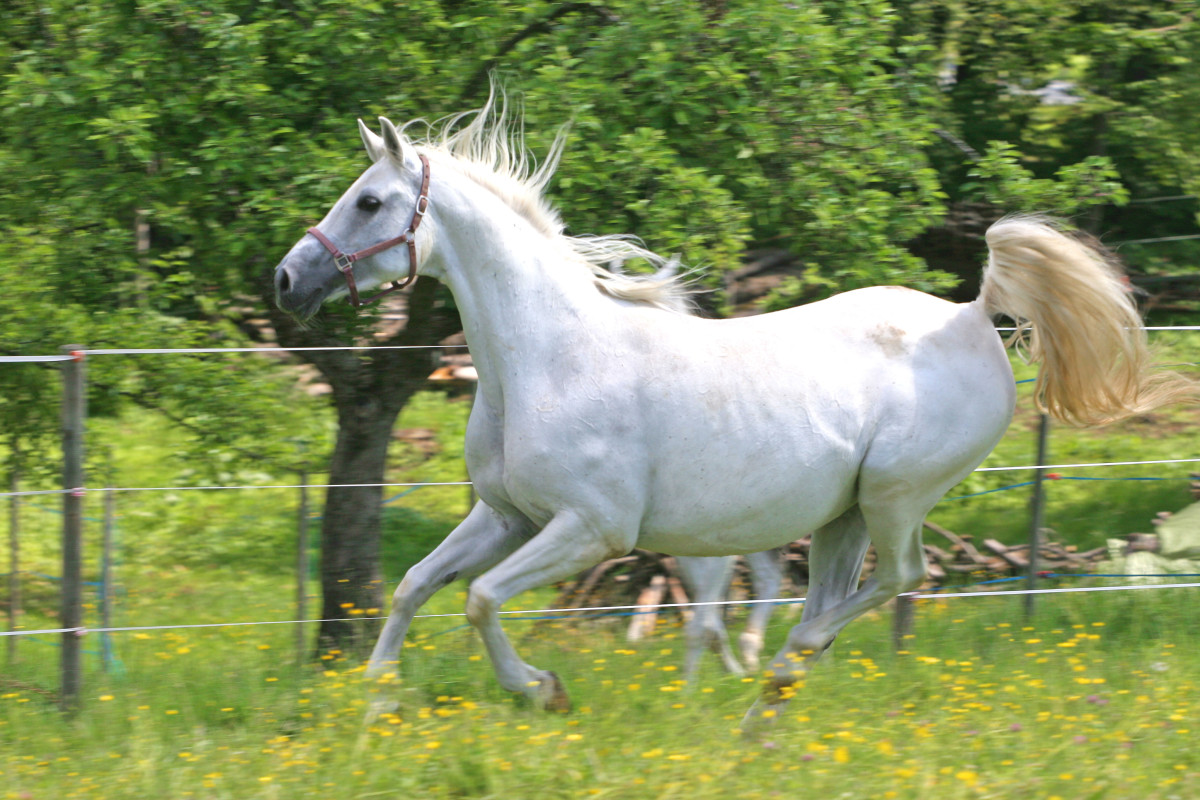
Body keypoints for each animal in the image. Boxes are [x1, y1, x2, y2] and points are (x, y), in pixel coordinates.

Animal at [273, 93, 1196, 725]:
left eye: (368, 201)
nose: (286, 280)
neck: (551, 356)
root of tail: (972, 314)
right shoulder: (504, 516)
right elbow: (412, 589)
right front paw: (377, 704)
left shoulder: (589, 530)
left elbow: (481, 601)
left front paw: (542, 689)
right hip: (842, 516)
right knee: (827, 598)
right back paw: (765, 709)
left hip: (895, 498)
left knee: (900, 579)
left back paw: (780, 672)